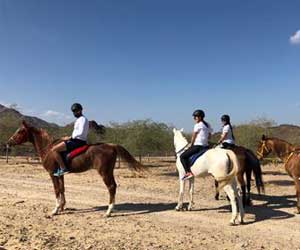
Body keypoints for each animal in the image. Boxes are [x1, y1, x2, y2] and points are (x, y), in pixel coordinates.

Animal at [7, 121, 146, 217]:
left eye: (20, 131)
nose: (8, 142)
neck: (49, 149)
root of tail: (111, 145)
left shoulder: (52, 174)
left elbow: (56, 190)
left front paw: (55, 210)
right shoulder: (60, 174)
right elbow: (62, 189)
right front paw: (62, 207)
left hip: (104, 172)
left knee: (111, 187)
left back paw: (108, 212)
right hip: (108, 172)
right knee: (114, 187)